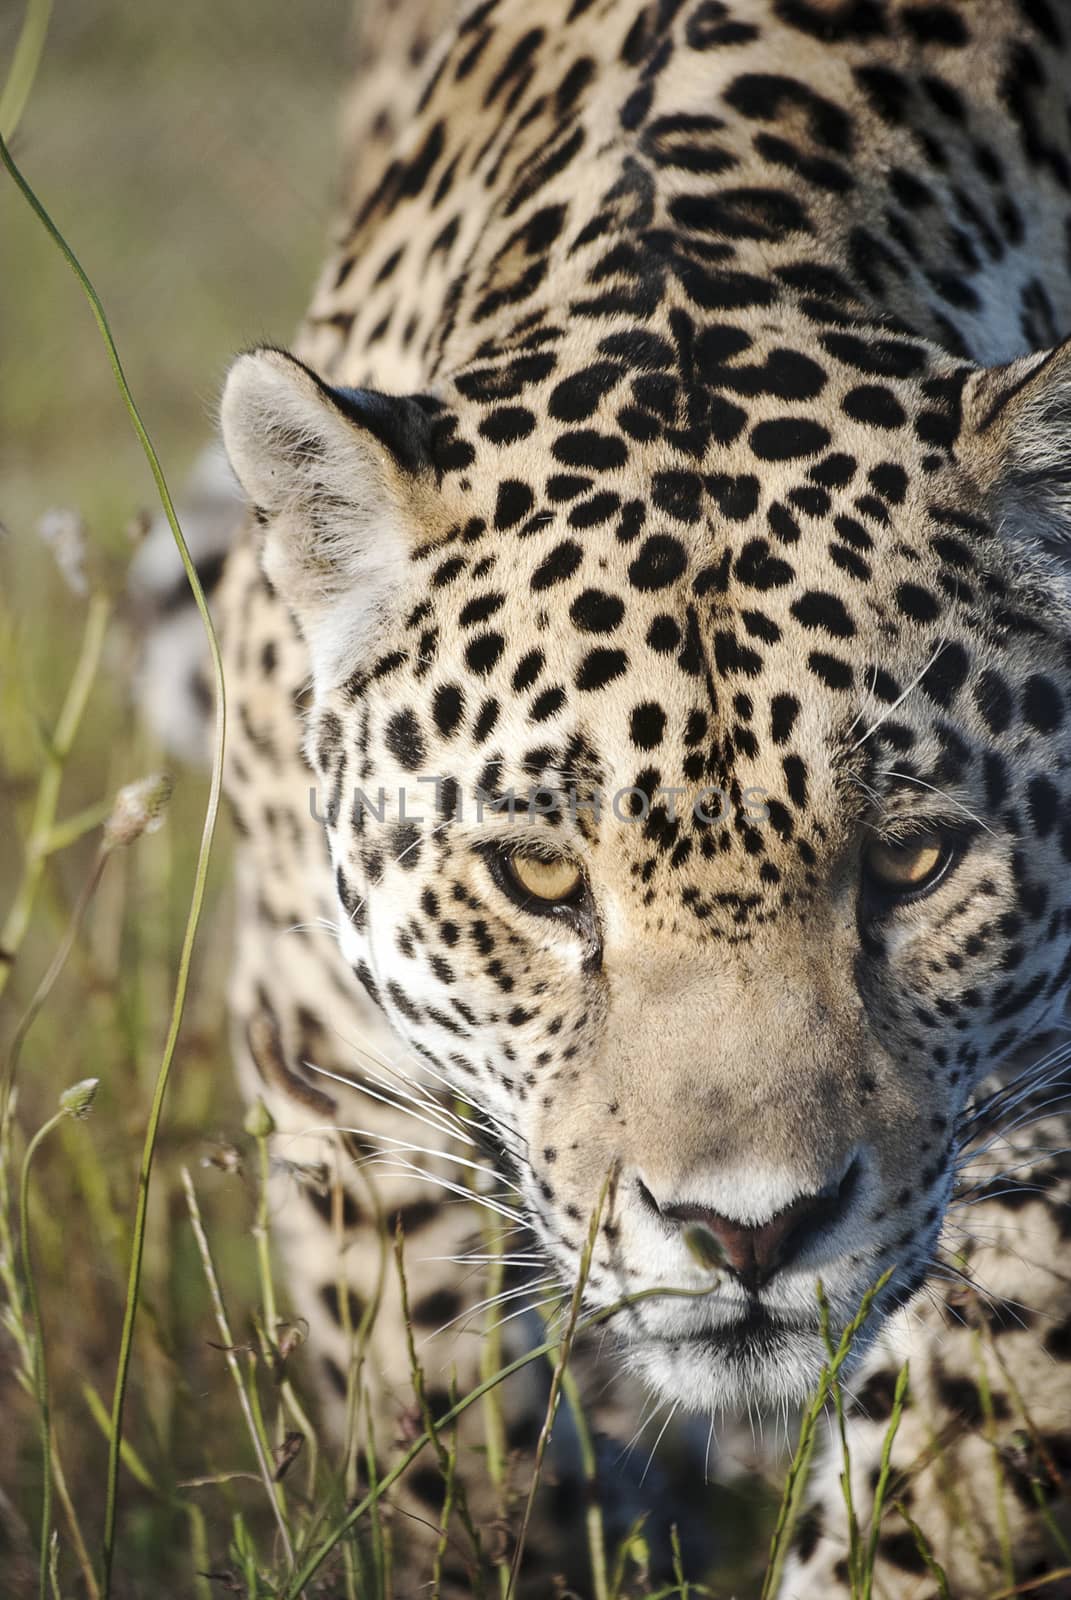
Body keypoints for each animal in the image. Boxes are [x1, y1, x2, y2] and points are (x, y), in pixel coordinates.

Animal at [137, 0, 1071, 1587]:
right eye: (538, 880)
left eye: (912, 866)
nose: (746, 1235)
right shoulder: (332, 1057)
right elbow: (432, 1422)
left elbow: (947, 1492)